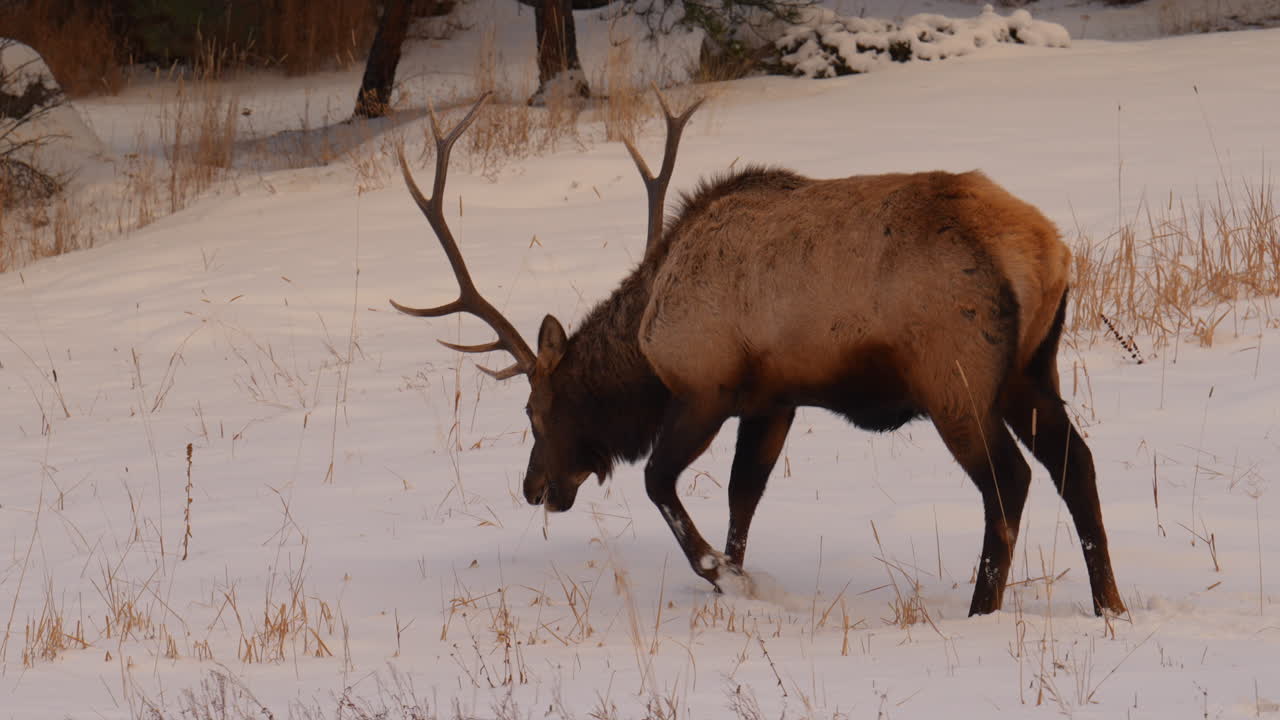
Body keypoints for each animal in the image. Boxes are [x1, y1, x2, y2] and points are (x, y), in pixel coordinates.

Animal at [391, 92, 1125, 617]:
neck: (646, 345)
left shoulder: (706, 388)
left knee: (1010, 482)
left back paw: (982, 610)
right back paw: (1109, 604)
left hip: (956, 379)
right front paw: (738, 578)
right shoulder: (774, 399)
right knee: (1077, 464)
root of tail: (1043, 250)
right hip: (1031, 370)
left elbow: (660, 480)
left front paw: (720, 574)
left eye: (535, 411)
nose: (534, 486)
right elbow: (744, 494)